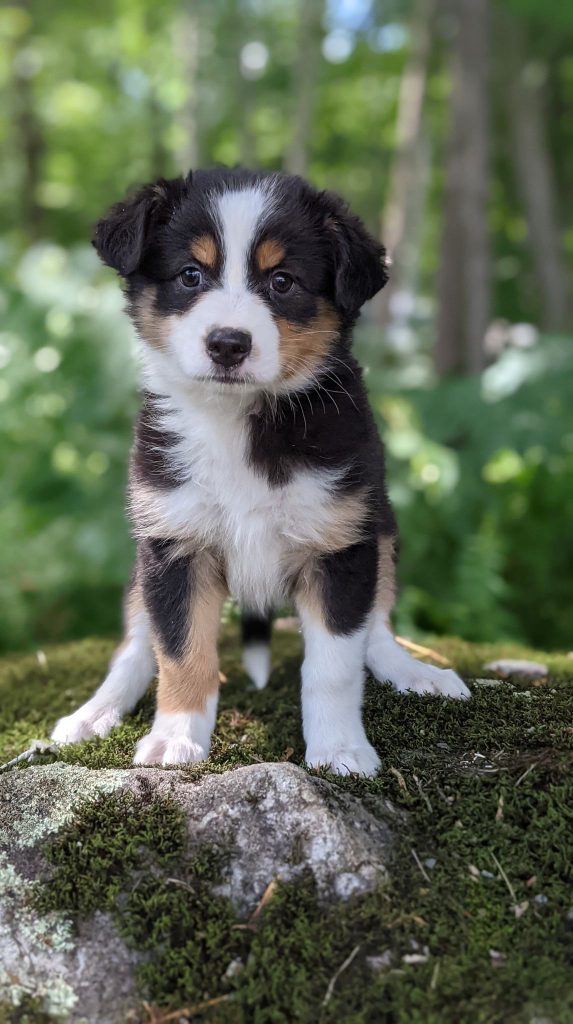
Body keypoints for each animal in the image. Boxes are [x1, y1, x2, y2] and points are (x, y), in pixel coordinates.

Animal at [51, 167, 469, 775]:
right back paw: (93, 713)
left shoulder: (341, 543)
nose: (227, 344)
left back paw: (414, 672)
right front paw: (175, 739)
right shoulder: (172, 542)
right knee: (136, 643)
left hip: (384, 525)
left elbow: (334, 665)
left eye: (282, 282)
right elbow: (180, 651)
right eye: (190, 275)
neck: (239, 421)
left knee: (376, 626)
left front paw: (340, 749)